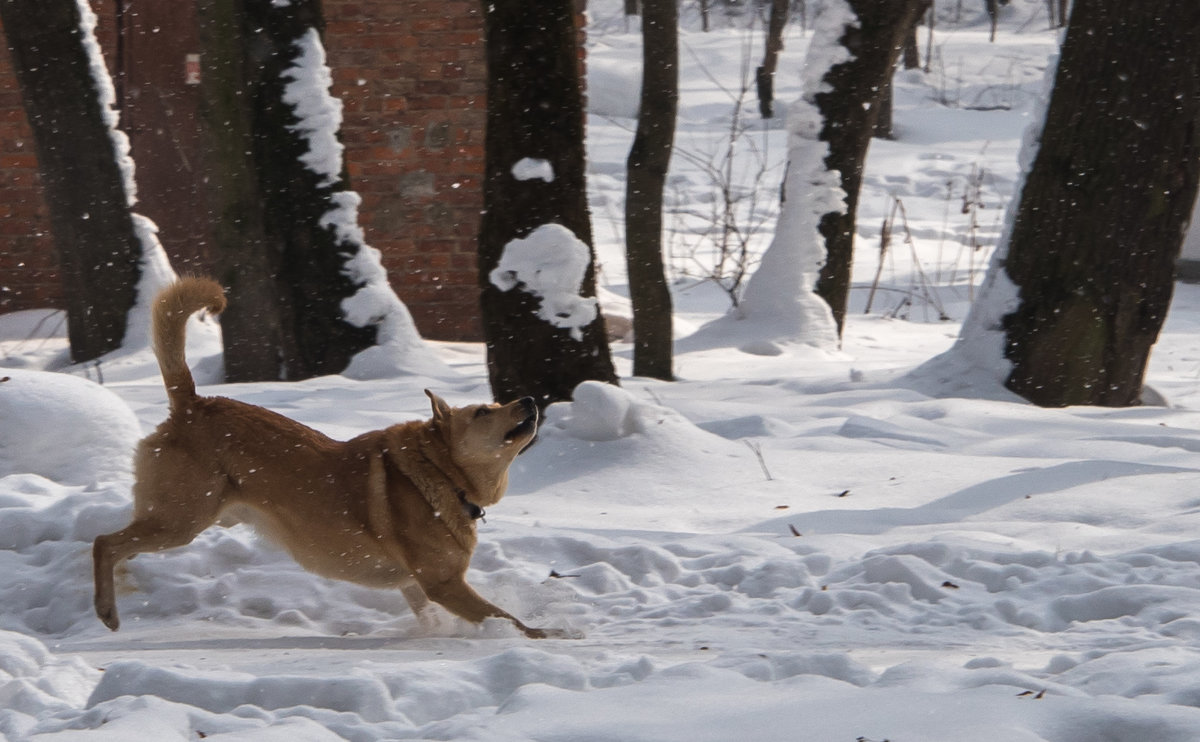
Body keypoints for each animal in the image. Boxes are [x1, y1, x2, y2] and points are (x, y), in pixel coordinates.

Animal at [96, 276, 559, 633]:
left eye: (493, 403)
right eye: (483, 412)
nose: (529, 399)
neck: (439, 473)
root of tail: (191, 403)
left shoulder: (417, 585)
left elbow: (430, 616)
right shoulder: (443, 583)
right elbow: (510, 621)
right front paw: (546, 636)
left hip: (177, 518)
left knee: (117, 546)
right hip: (180, 520)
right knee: (103, 542)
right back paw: (107, 611)